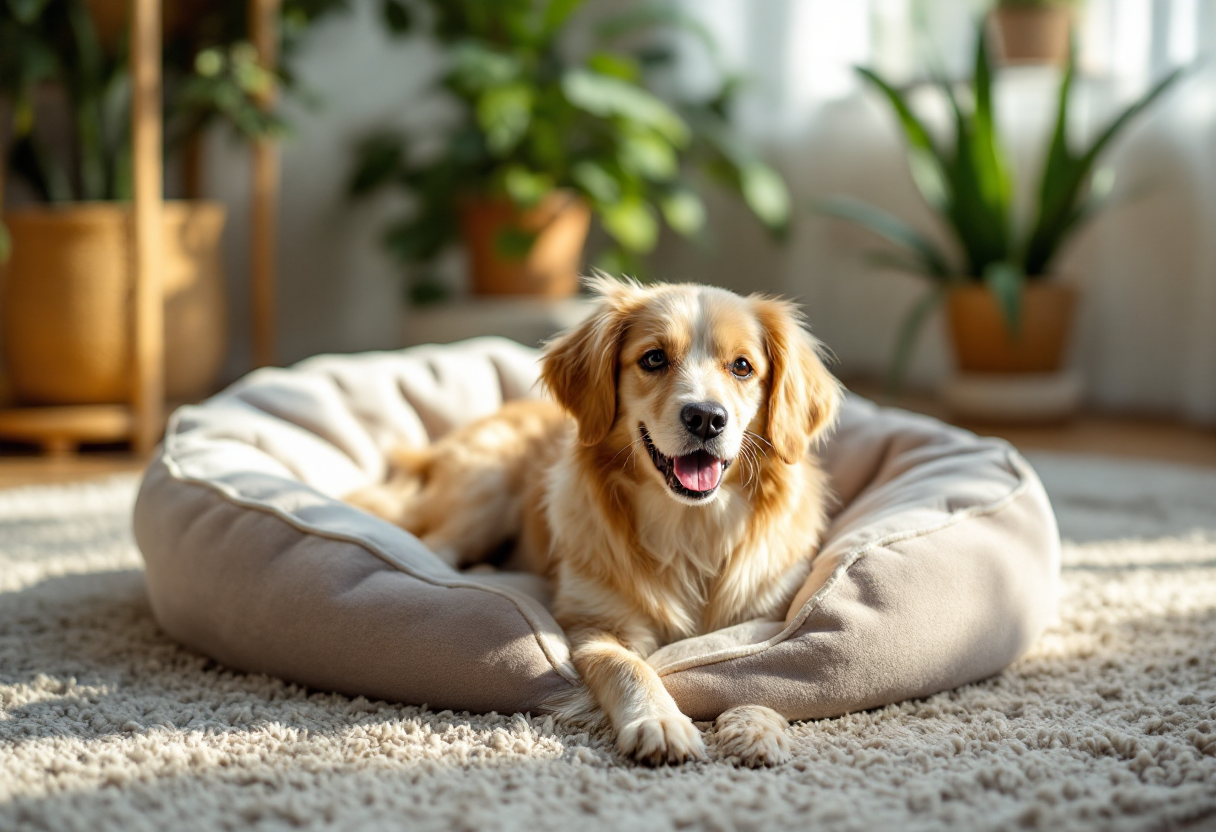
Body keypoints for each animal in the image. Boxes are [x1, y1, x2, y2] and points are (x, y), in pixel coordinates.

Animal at [347, 274, 841, 768]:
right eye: (654, 358)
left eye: (742, 366)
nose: (706, 417)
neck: (688, 528)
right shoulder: (595, 623)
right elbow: (628, 666)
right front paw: (660, 722)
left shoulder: (767, 617)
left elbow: (750, 664)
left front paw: (756, 726)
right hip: (483, 491)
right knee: (434, 549)